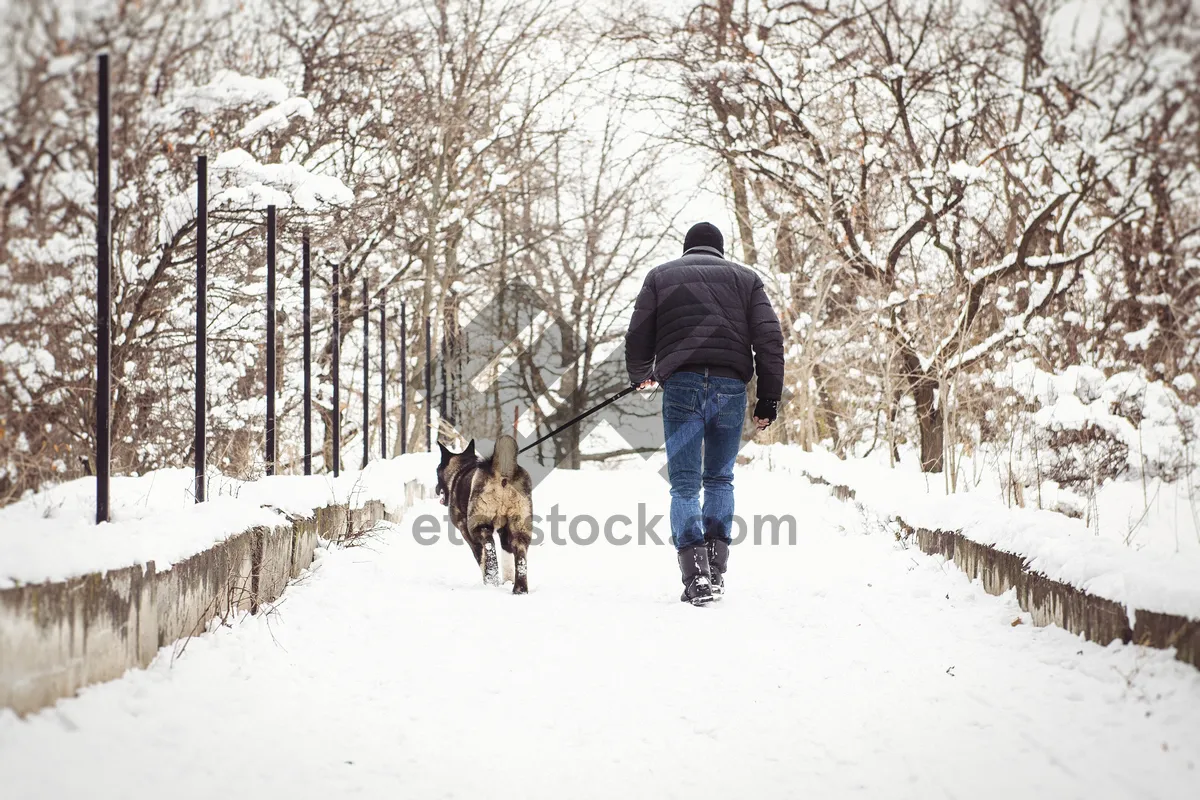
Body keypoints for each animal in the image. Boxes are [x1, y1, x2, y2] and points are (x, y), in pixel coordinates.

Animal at [436, 431, 535, 594]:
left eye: (437, 470)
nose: (436, 489)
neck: (461, 467)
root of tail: (502, 472)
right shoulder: (504, 531)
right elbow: (507, 557)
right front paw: (507, 582)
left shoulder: (467, 532)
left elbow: (481, 558)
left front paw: (489, 581)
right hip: (520, 527)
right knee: (520, 555)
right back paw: (519, 589)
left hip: (478, 525)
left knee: (489, 546)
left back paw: (491, 580)